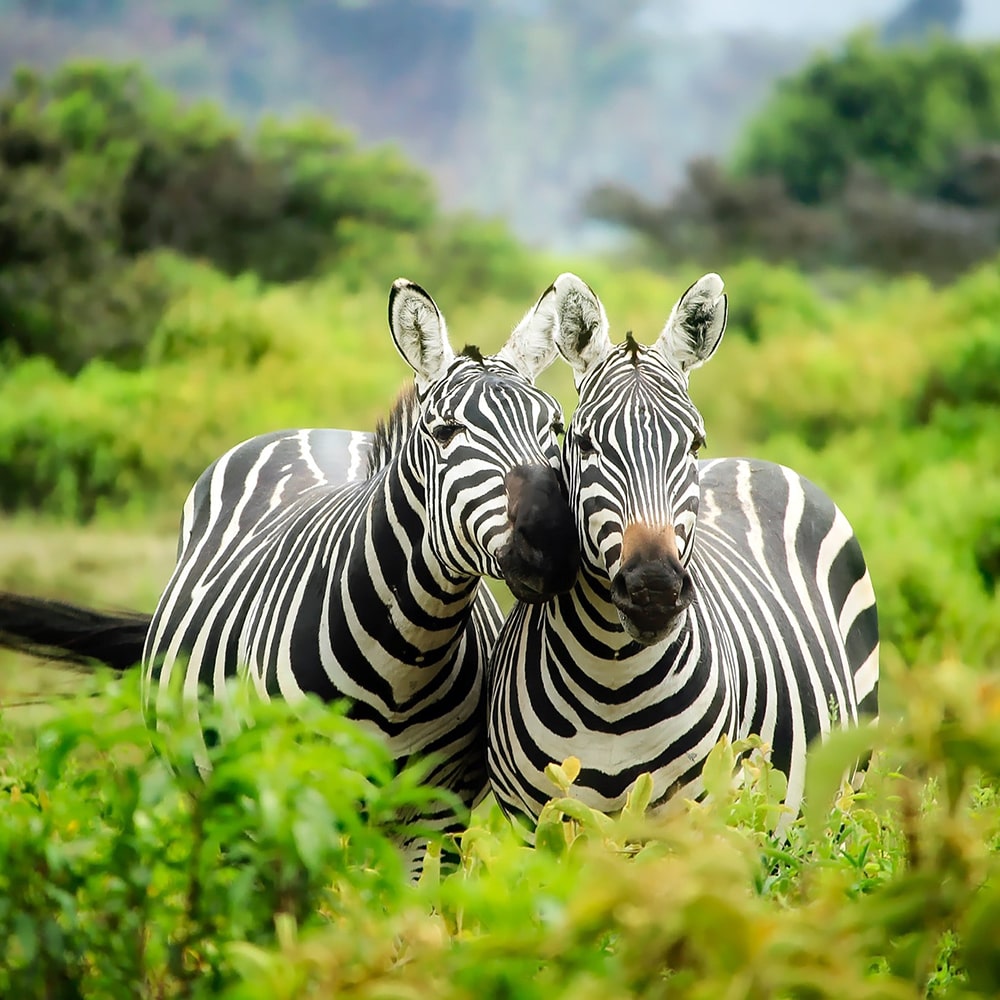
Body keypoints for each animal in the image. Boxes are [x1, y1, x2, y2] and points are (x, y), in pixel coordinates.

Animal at [0, 277, 580, 865]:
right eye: (445, 433)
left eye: (556, 429)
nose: (554, 543)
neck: (407, 658)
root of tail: (314, 429)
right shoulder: (293, 801)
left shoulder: (433, 817)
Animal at [487, 272, 879, 832]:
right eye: (583, 443)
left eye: (693, 444)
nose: (653, 589)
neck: (611, 681)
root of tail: (754, 461)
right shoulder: (535, 824)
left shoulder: (696, 822)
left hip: (846, 792)